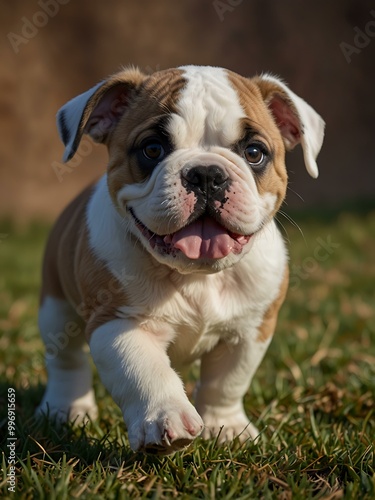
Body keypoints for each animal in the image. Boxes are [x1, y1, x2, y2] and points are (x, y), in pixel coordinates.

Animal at [36, 64, 324, 456]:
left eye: (254, 152)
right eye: (152, 149)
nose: (206, 174)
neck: (197, 276)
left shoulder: (250, 330)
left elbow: (227, 382)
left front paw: (226, 427)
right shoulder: (119, 323)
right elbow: (145, 373)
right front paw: (165, 420)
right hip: (56, 307)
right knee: (66, 359)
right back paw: (67, 408)